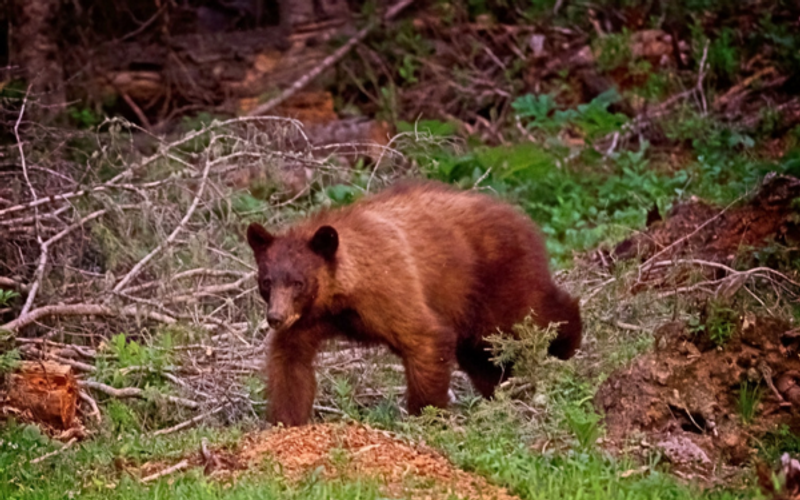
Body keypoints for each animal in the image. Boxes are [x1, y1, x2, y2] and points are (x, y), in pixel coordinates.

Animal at [246, 180, 581, 427]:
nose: (275, 317)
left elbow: (425, 337)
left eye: (298, 282)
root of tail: (519, 215)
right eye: (266, 282)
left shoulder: (388, 287)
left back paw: (567, 343)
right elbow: (290, 361)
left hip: (496, 280)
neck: (340, 295)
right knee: (483, 357)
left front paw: (427, 415)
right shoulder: (309, 317)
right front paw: (285, 421)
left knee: (530, 313)